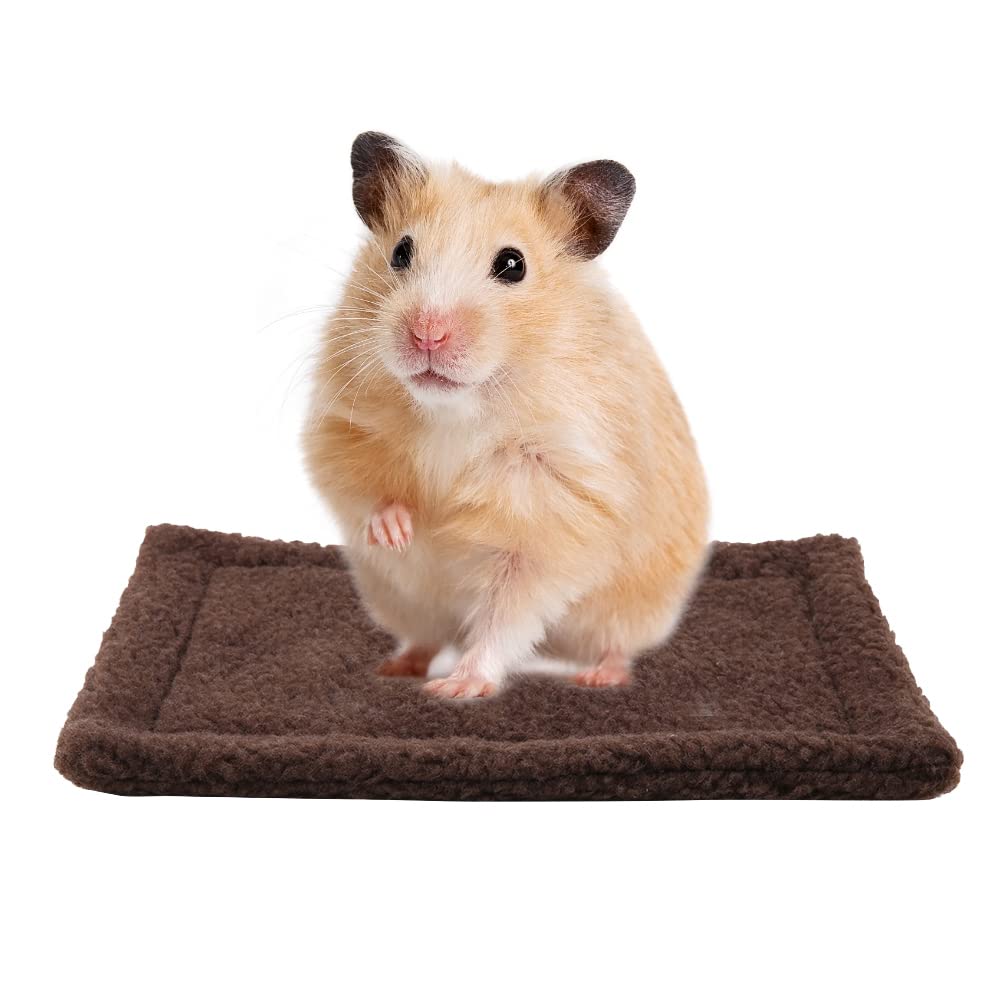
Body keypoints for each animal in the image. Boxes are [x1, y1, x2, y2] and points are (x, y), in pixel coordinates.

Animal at [302, 131, 709, 698]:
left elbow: (506, 612)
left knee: (615, 644)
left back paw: (597, 678)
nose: (427, 334)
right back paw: (398, 667)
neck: (456, 410)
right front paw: (398, 531)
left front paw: (458, 688)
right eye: (401, 252)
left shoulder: (552, 512)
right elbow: (364, 490)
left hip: (634, 607)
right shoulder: (340, 426)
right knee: (425, 637)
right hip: (405, 602)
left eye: (513, 265)